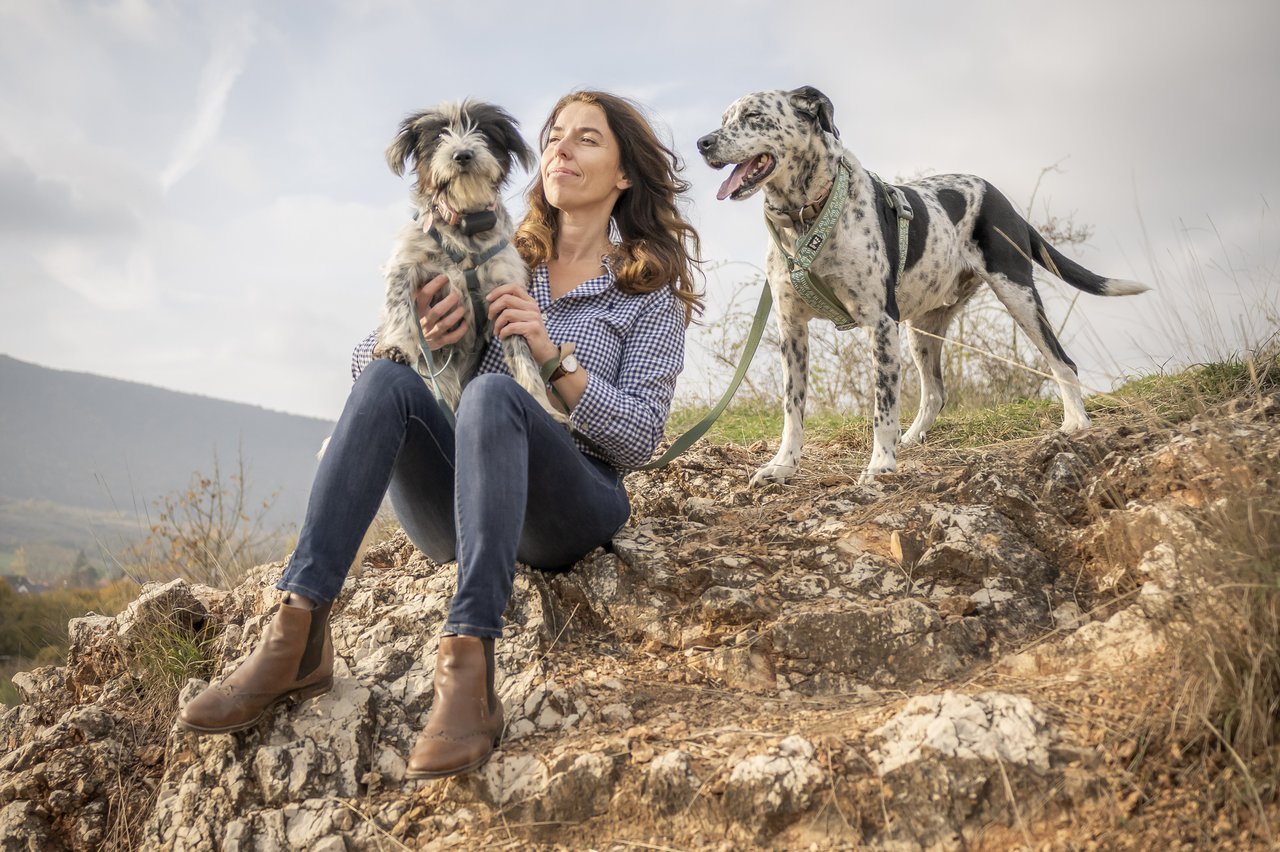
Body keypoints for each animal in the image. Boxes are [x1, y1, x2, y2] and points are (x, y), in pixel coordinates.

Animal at [373, 101, 565, 419]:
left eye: (483, 131)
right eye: (440, 135)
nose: (462, 154)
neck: (465, 225)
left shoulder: (506, 294)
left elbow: (522, 353)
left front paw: (541, 403)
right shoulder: (404, 266)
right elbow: (400, 310)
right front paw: (397, 345)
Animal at [701, 87, 1152, 483]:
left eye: (753, 115)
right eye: (723, 120)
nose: (703, 142)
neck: (806, 216)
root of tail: (1005, 202)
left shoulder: (880, 323)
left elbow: (883, 408)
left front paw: (881, 465)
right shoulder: (792, 331)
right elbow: (792, 411)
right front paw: (783, 466)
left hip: (1017, 294)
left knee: (1062, 362)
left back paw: (1076, 422)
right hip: (923, 327)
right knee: (935, 392)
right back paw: (912, 438)